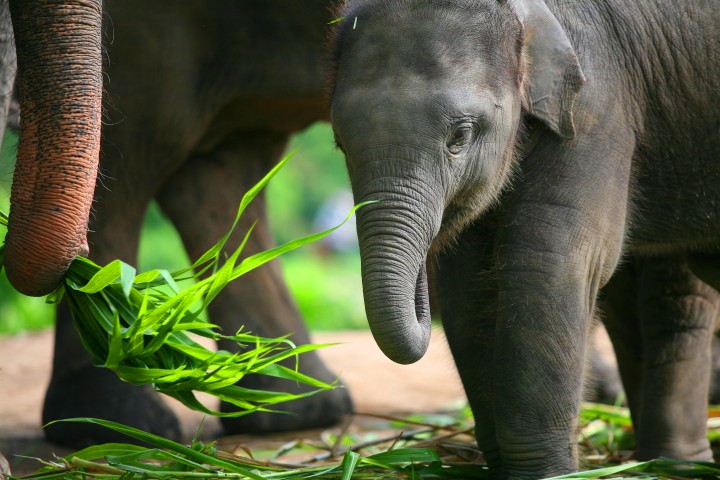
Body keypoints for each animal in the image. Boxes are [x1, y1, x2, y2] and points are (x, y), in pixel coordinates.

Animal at [329, 0, 720, 478]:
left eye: (460, 136)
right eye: (339, 143)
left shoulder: (596, 106)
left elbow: (549, 263)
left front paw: (545, 472)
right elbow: (469, 286)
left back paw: (675, 464)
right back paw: (662, 461)